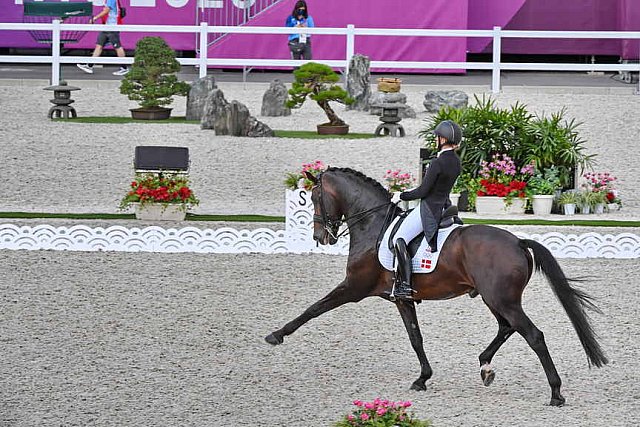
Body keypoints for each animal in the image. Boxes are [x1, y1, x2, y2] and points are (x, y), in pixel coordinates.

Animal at [262, 166, 608, 406]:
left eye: (314, 198)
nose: (321, 237)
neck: (373, 224)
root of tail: (518, 242)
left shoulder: (353, 287)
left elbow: (313, 309)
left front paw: (276, 335)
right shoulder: (402, 299)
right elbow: (416, 338)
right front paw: (422, 379)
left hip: (501, 299)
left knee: (533, 335)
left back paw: (555, 393)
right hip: (496, 299)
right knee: (507, 327)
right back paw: (485, 366)